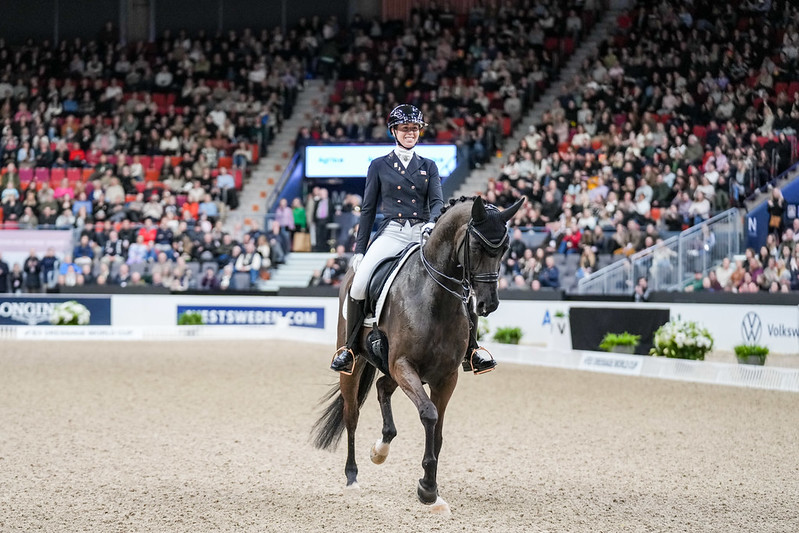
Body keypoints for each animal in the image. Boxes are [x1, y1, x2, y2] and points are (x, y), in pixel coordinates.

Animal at [312, 195, 524, 512]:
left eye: (506, 248)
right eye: (475, 246)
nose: (488, 304)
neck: (435, 298)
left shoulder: (444, 377)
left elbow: (438, 433)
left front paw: (430, 488)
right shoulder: (403, 365)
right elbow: (429, 414)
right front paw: (427, 489)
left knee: (382, 387)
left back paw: (381, 449)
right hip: (356, 363)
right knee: (352, 414)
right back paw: (352, 477)